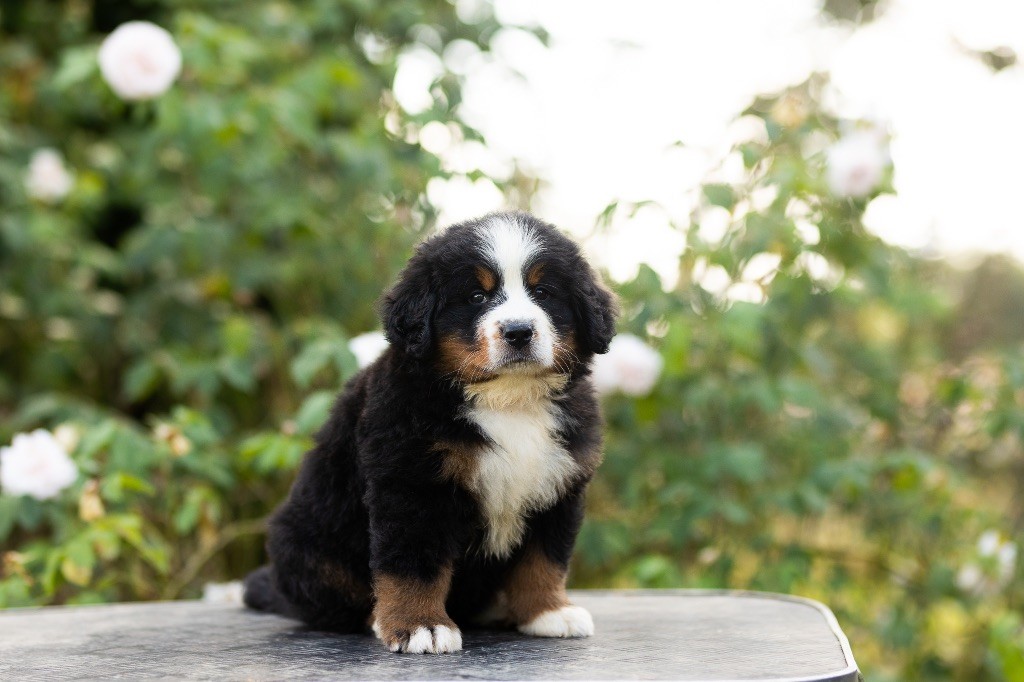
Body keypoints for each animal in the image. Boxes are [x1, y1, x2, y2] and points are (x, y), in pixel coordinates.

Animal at [241, 209, 614, 651]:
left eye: (543, 292)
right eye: (476, 297)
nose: (519, 331)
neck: (508, 399)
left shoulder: (558, 484)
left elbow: (544, 560)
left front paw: (548, 611)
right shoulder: (412, 485)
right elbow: (412, 565)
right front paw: (420, 626)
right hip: (308, 545)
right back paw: (376, 618)